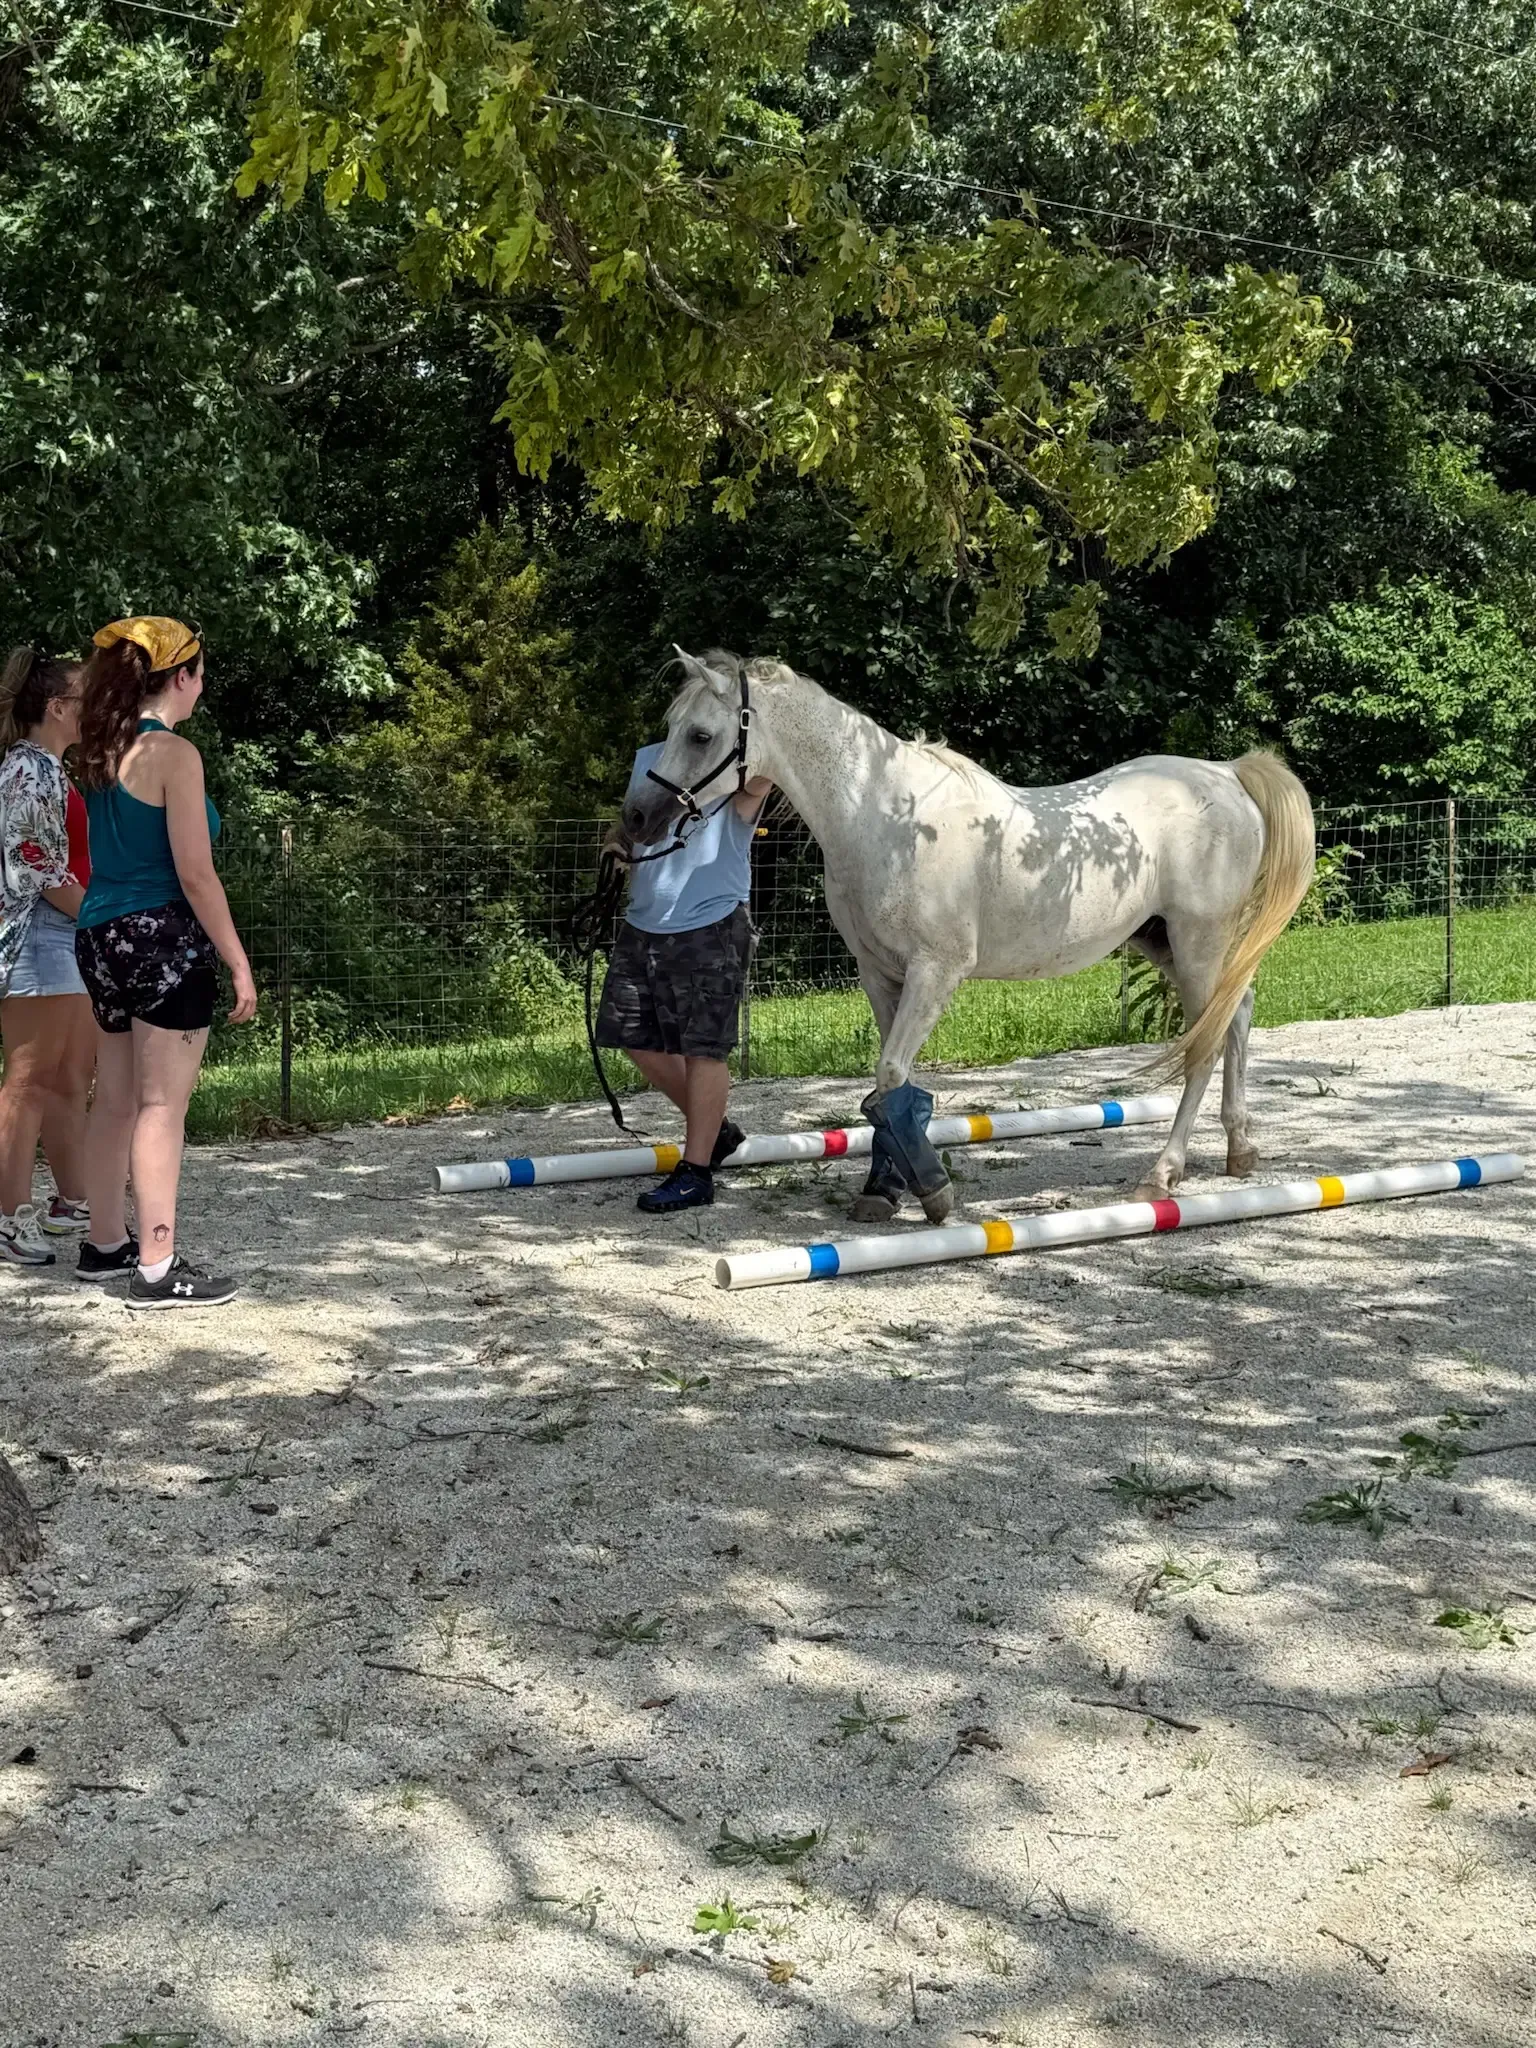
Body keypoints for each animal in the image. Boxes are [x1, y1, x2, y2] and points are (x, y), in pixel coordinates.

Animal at [622, 649, 1316, 1225]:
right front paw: (882, 1190)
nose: (636, 818)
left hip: (1200, 942)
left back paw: (1163, 1173)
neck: (884, 819)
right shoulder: (880, 975)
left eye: (701, 735)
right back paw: (1240, 1148)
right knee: (1238, 1016)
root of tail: (1226, 774)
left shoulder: (937, 970)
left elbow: (892, 1077)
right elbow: (885, 1086)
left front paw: (931, 1189)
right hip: (1164, 942)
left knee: (1205, 1044)